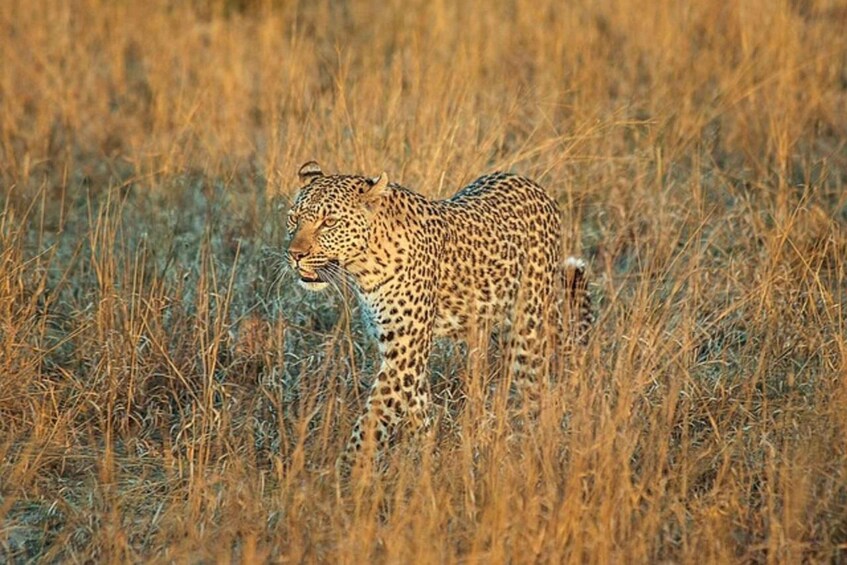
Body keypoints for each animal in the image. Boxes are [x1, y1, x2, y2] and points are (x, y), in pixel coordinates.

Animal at [285, 160, 593, 472]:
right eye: (293, 219)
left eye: (329, 222)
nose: (294, 254)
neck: (365, 266)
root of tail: (535, 186)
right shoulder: (400, 349)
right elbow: (415, 404)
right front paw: (425, 454)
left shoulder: (404, 353)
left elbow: (372, 419)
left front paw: (342, 471)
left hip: (529, 328)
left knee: (537, 387)